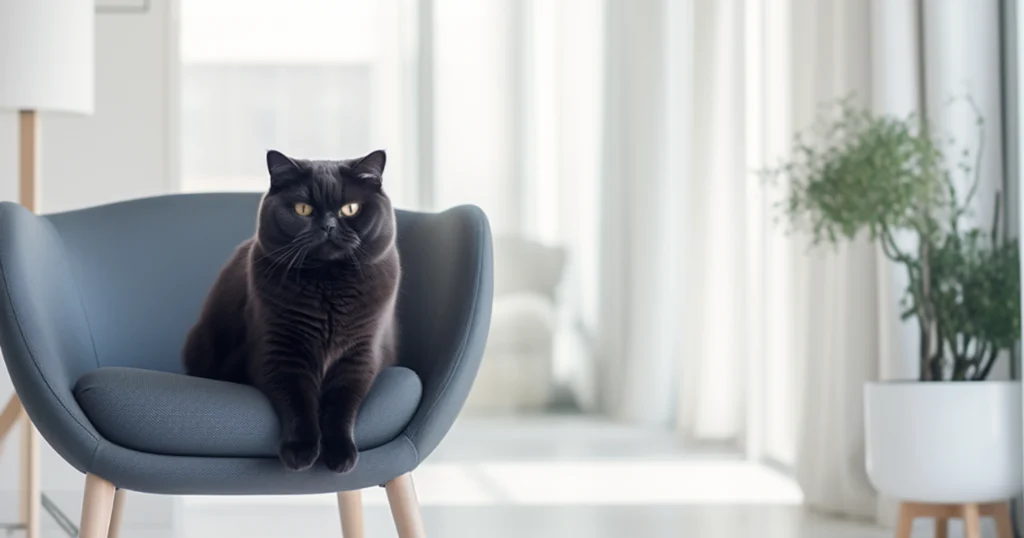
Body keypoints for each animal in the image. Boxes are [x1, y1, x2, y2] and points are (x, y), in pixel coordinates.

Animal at [182, 148, 397, 471]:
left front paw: (340, 453)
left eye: (350, 209)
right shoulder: (280, 350)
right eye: (303, 209)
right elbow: (297, 399)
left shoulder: (359, 354)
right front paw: (301, 450)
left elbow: (343, 403)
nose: (328, 226)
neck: (328, 282)